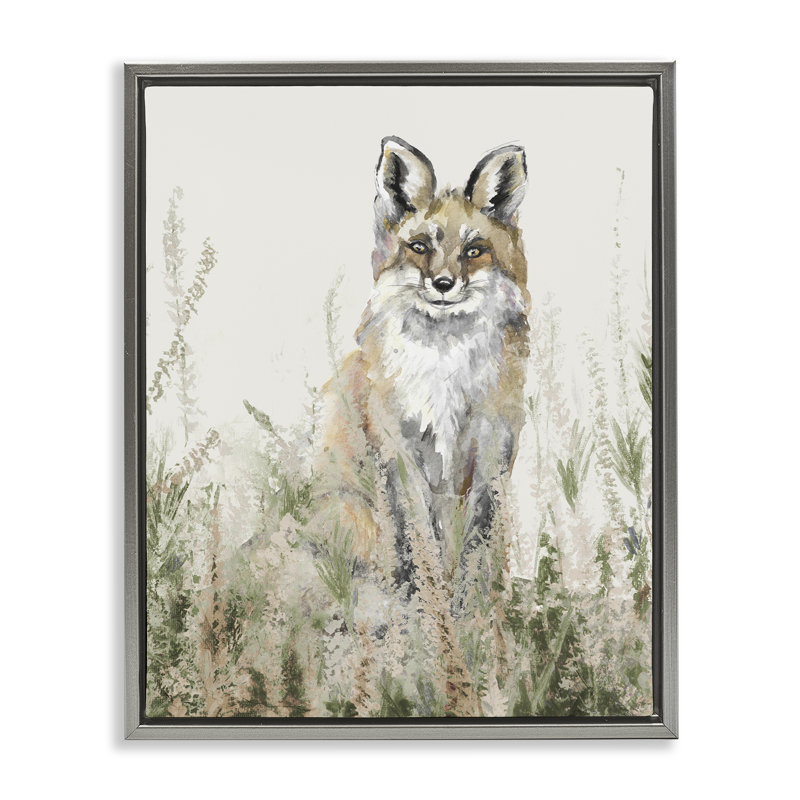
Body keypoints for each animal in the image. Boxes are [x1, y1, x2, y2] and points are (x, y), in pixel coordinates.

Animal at [314, 136, 529, 594]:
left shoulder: (491, 445)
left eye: (474, 251)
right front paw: (431, 595)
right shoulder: (398, 445)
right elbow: (420, 532)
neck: (445, 370)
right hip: (351, 510)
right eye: (420, 247)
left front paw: (472, 600)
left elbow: (477, 538)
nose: (444, 284)